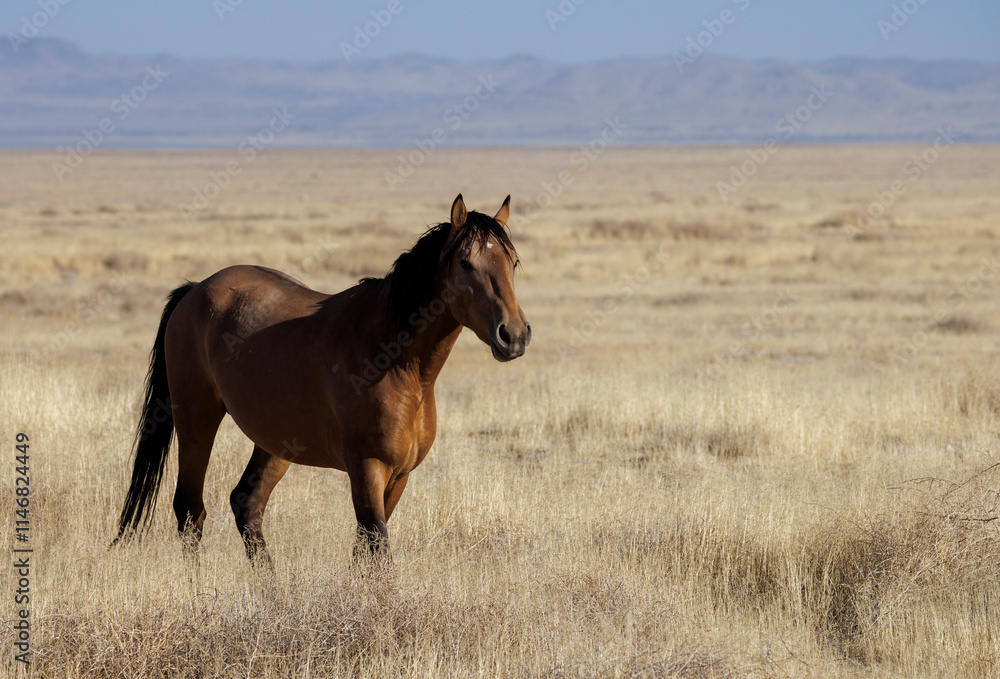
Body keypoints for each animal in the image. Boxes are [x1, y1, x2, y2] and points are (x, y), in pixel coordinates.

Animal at [113, 195, 530, 563]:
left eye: (512, 262)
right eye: (466, 264)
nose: (513, 334)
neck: (398, 361)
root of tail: (195, 290)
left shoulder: (398, 477)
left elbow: (363, 552)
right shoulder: (367, 469)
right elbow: (377, 549)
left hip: (275, 442)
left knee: (247, 504)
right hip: (196, 421)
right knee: (190, 512)